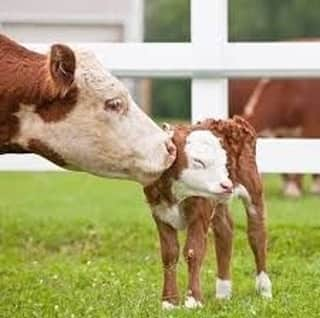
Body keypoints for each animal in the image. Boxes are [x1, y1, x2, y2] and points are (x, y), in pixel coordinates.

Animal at [144, 116, 272, 308]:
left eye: (224, 162)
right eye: (198, 161)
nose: (226, 184)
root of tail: (232, 121)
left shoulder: (200, 210)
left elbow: (193, 251)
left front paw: (193, 301)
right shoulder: (160, 213)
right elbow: (169, 254)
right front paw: (169, 302)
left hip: (253, 187)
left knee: (257, 235)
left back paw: (264, 290)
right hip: (218, 202)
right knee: (225, 230)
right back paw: (223, 293)